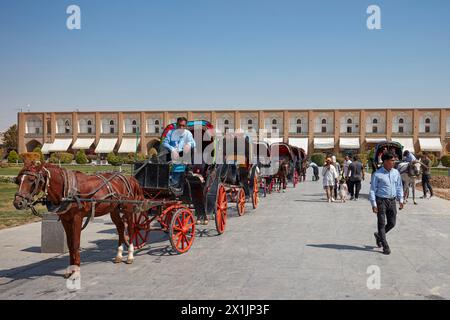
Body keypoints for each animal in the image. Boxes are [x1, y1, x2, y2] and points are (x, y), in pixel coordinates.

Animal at [13, 161, 144, 278]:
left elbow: (76, 243)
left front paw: (75, 270)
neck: (68, 190)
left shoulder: (77, 218)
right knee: (121, 227)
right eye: (18, 180)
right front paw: (70, 269)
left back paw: (130, 255)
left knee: (131, 228)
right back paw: (119, 255)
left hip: (128, 209)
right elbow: (70, 244)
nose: (18, 203)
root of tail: (129, 178)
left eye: (31, 180)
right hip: (114, 209)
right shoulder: (65, 219)